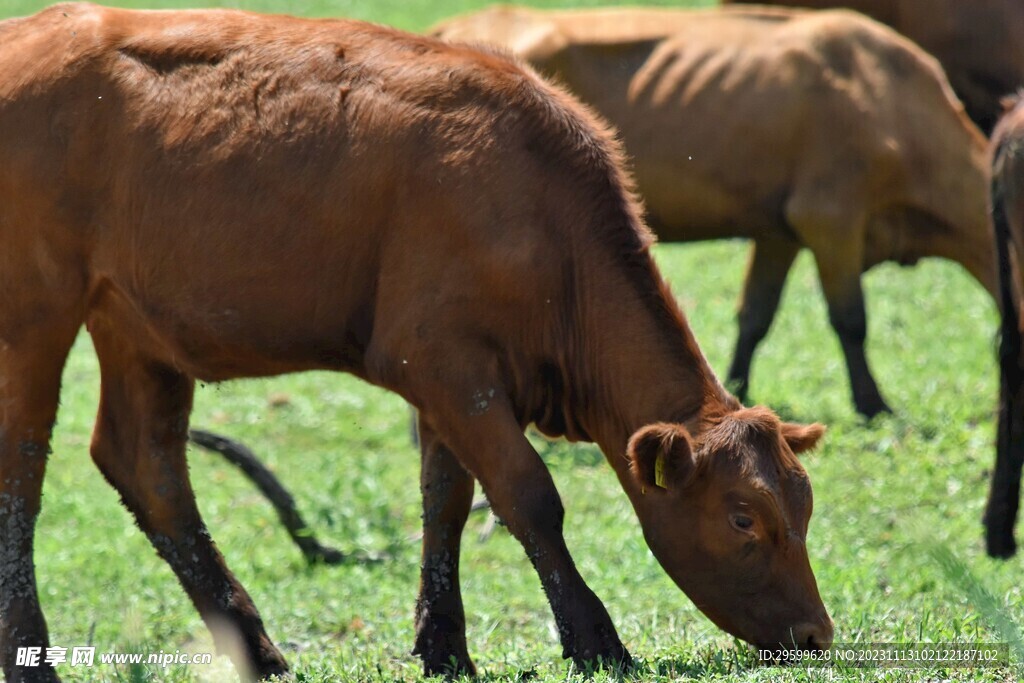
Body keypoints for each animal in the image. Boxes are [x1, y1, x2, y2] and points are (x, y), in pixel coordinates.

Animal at [0, 2, 831, 679]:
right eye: (743, 517)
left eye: (805, 504)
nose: (817, 632)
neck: (539, 214)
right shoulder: (444, 360)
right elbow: (528, 493)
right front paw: (595, 638)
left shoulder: (445, 378)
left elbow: (447, 500)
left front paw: (444, 645)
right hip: (36, 315)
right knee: (24, 469)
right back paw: (34, 656)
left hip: (136, 326)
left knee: (147, 464)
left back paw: (259, 650)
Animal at [434, 5, 999, 419]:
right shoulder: (831, 216)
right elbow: (850, 319)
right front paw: (873, 404)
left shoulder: (781, 231)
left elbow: (755, 316)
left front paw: (737, 386)